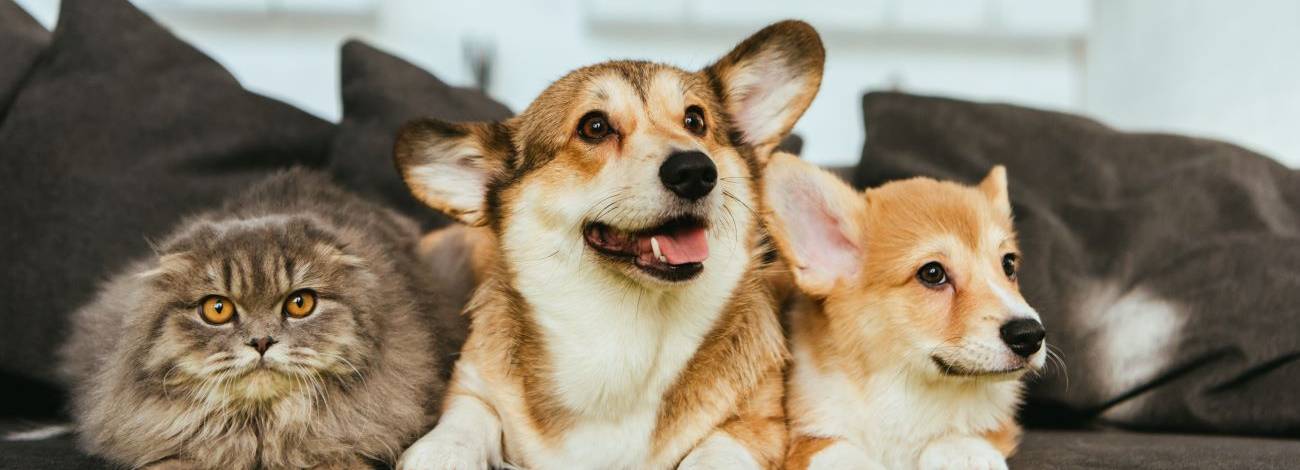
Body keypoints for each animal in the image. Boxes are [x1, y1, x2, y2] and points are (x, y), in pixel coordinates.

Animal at [392, 21, 821, 470]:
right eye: (594, 127)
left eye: (695, 120)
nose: (695, 171)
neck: (625, 333)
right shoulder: (472, 387)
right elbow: (460, 427)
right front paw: (441, 454)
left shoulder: (760, 421)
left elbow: (715, 451)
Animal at [764, 155, 1050, 470]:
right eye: (932, 273)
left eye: (1008, 264)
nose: (1030, 335)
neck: (907, 389)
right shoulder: (806, 437)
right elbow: (839, 451)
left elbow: (960, 433)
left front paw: (966, 453)